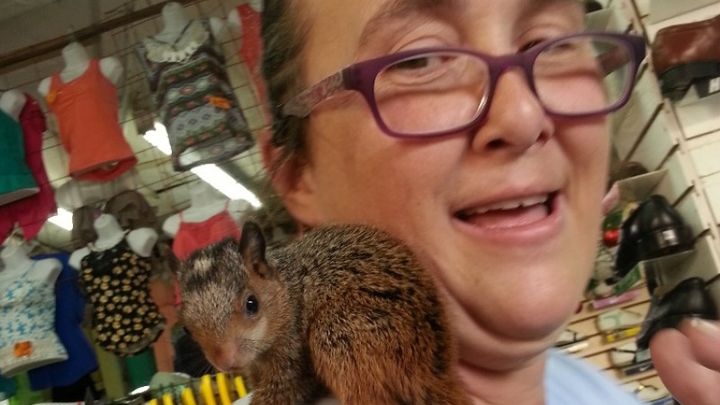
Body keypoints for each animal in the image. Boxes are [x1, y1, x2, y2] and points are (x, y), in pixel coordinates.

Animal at [178, 221, 470, 405]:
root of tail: (429, 372)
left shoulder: (292, 354)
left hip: (337, 333)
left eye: (252, 304)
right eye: (187, 329)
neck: (289, 293)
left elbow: (284, 391)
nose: (225, 362)